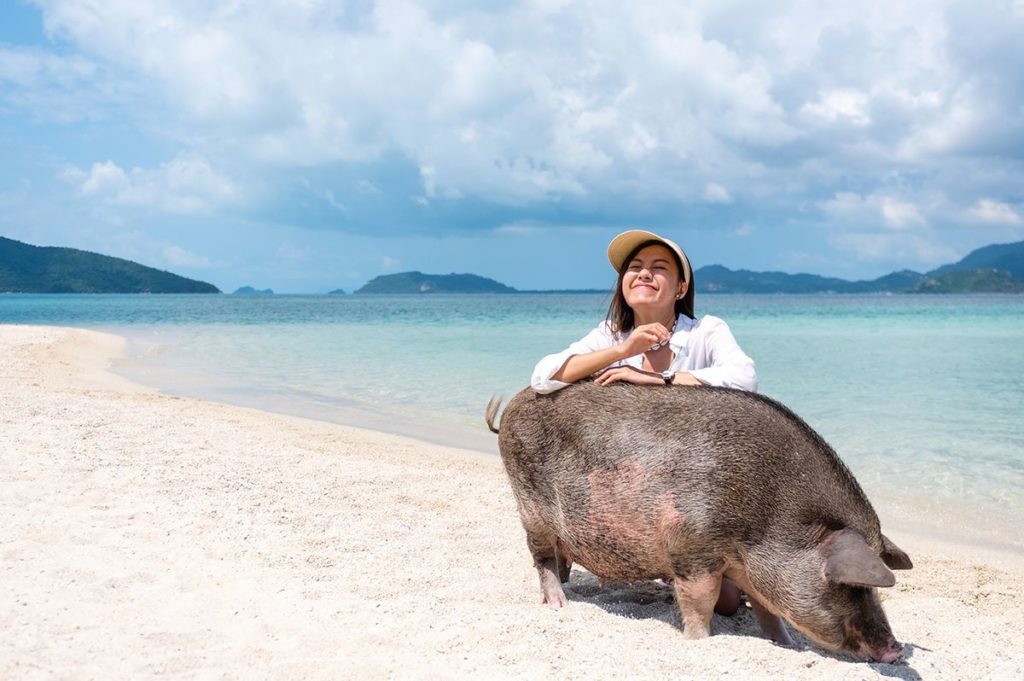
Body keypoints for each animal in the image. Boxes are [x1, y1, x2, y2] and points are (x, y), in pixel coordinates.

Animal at [485, 382, 913, 663]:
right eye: (850, 586)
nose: (894, 648)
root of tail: (514, 403)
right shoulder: (690, 547)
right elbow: (700, 600)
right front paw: (698, 642)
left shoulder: (748, 569)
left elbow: (768, 609)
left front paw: (786, 645)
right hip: (530, 503)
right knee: (541, 557)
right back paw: (558, 605)